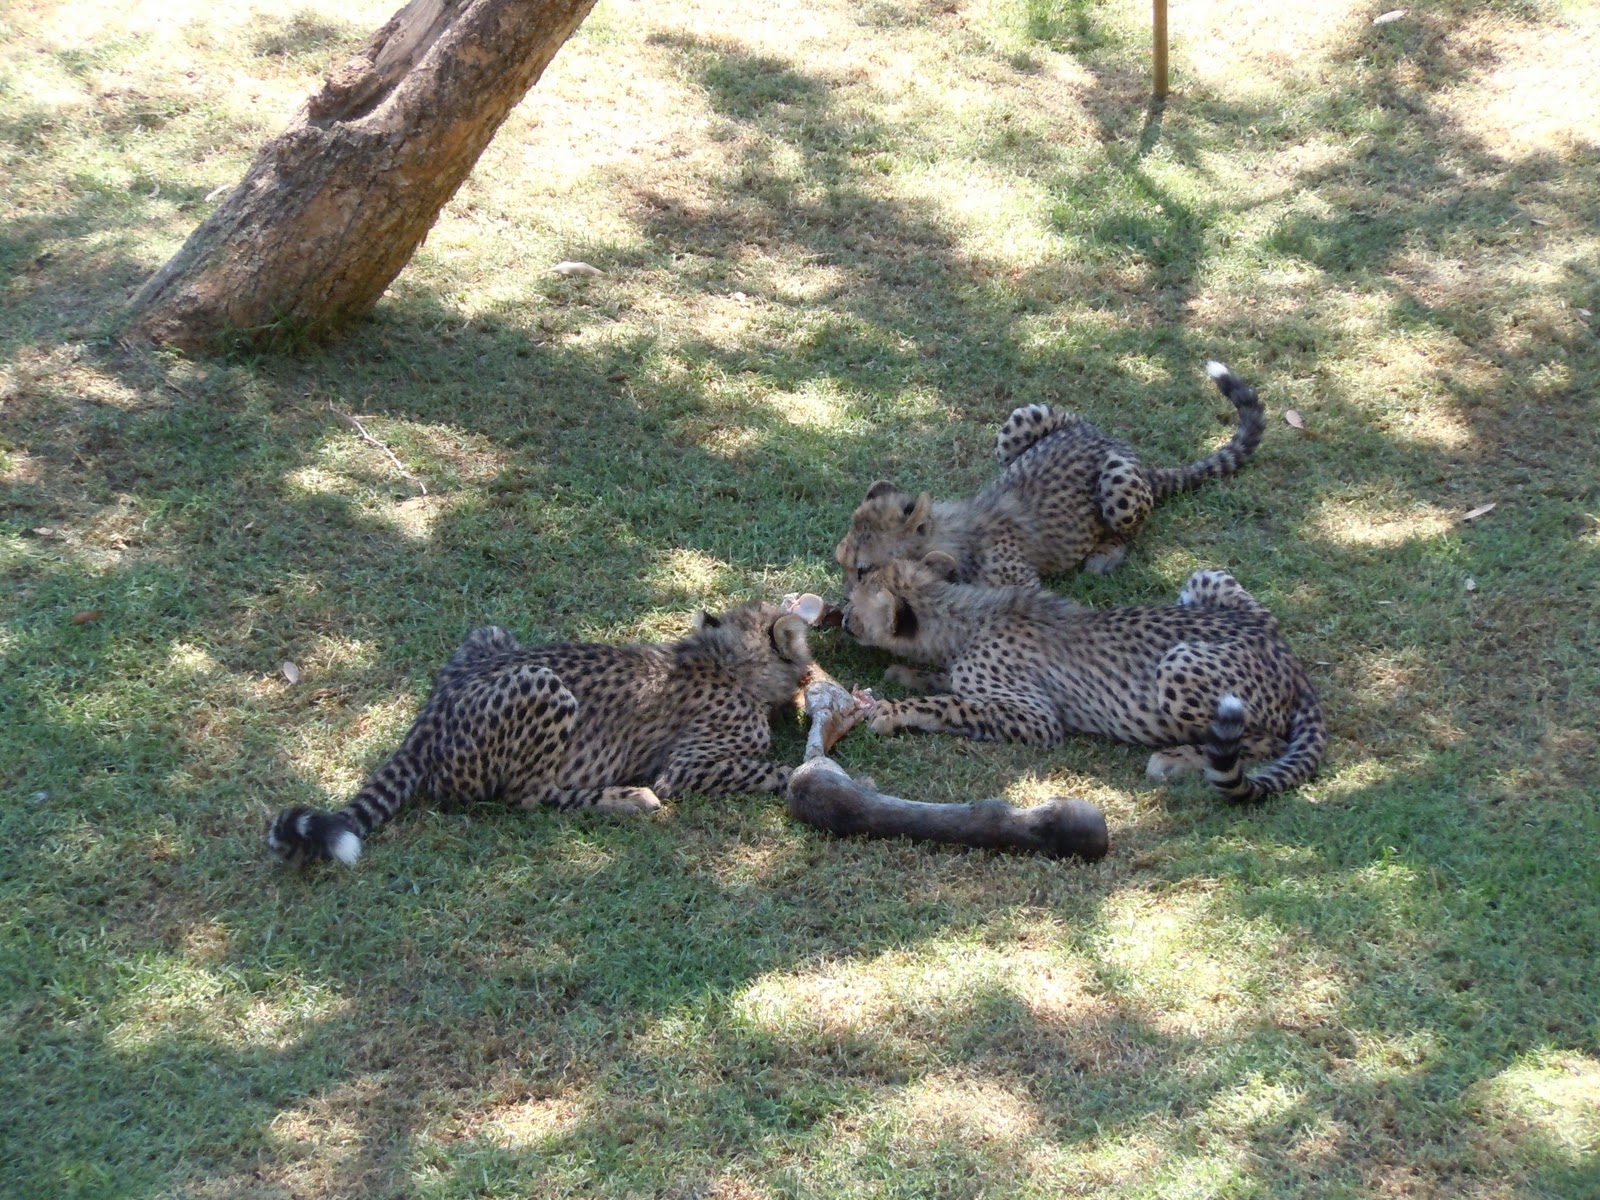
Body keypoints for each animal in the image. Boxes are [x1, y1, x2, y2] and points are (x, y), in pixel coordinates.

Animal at [267, 601, 816, 864]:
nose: (810, 666)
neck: (730, 659)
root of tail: (431, 712)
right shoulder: (685, 768)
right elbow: (772, 768)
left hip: (492, 633)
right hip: (544, 688)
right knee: (526, 797)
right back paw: (624, 798)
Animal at [834, 361, 1266, 597]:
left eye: (863, 570)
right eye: (841, 562)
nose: (844, 604)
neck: (952, 537)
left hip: (1118, 481)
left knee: (1131, 530)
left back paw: (1107, 553)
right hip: (1023, 419)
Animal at [841, 555, 1325, 802]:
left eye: (854, 599)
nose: (841, 615)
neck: (963, 617)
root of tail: (1289, 659)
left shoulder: (1039, 719)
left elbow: (954, 704)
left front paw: (893, 710)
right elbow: (947, 682)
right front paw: (908, 673)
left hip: (1180, 663)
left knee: (1267, 741)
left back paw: (1176, 758)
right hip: (1205, 577)